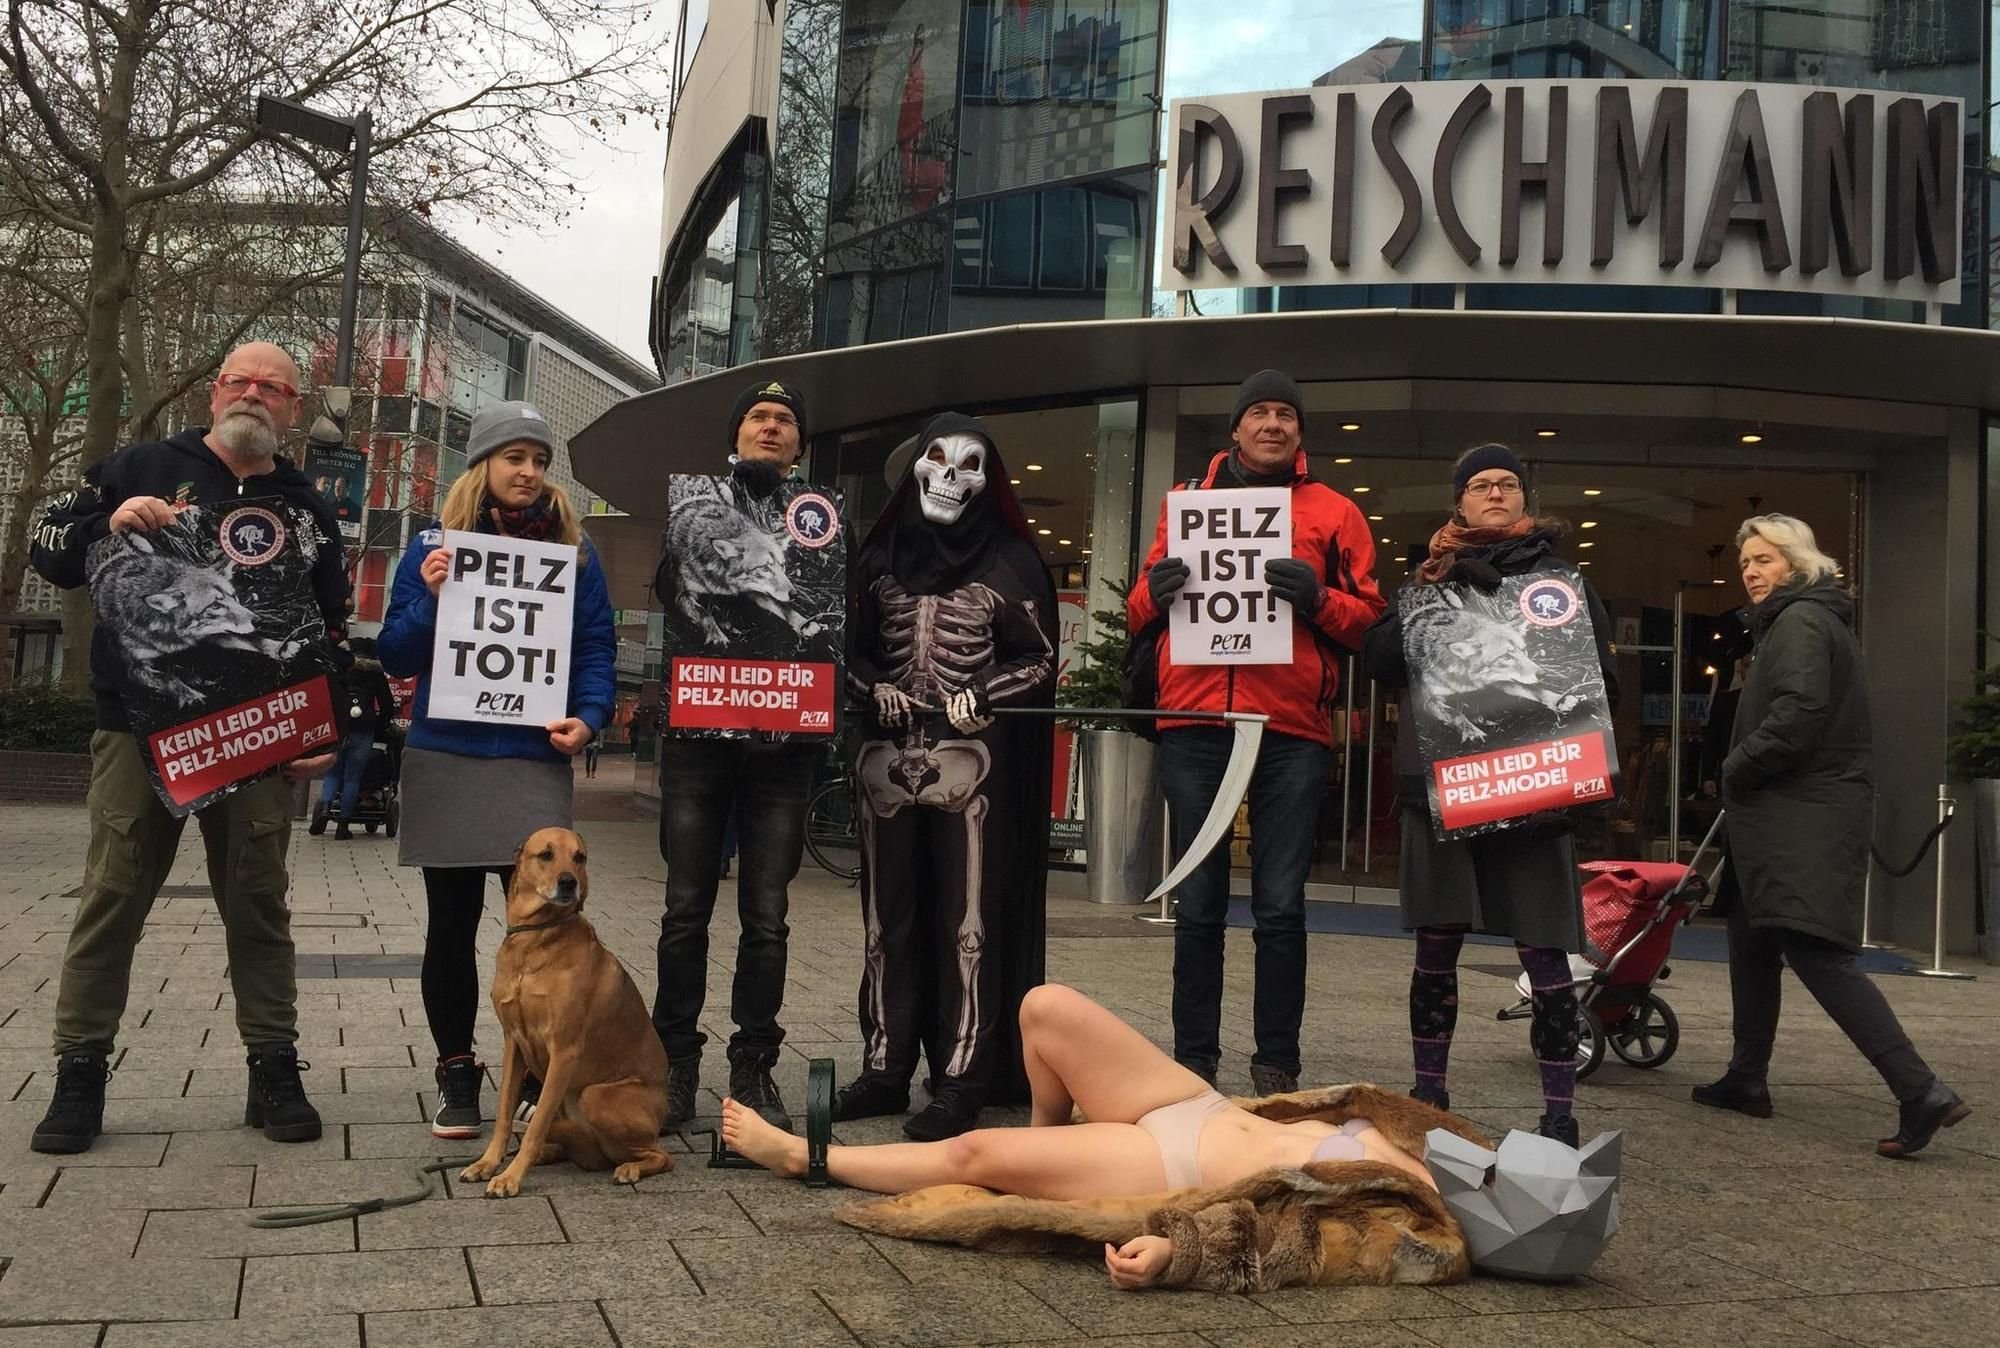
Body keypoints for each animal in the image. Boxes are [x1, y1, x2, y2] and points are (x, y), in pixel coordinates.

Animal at [458, 824, 672, 1192]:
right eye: (545, 854)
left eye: (579, 857)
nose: (569, 882)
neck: (534, 940)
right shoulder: (514, 1043)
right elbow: (504, 1115)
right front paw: (488, 1163)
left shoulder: (564, 1051)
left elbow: (538, 1121)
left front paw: (511, 1177)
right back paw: (554, 1152)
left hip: (596, 1096)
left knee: (661, 1155)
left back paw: (630, 1167)